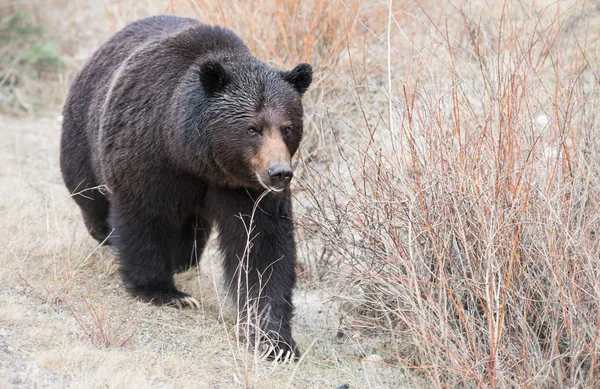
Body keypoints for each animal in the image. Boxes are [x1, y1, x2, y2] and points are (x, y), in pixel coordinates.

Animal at [60, 15, 312, 360]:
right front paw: (164, 292)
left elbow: (261, 248)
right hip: (83, 132)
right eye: (252, 128)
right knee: (90, 195)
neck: (192, 154)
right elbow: (143, 216)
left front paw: (275, 339)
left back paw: (182, 259)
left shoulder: (245, 189)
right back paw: (107, 233)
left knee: (192, 227)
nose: (279, 173)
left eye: (287, 127)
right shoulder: (149, 155)